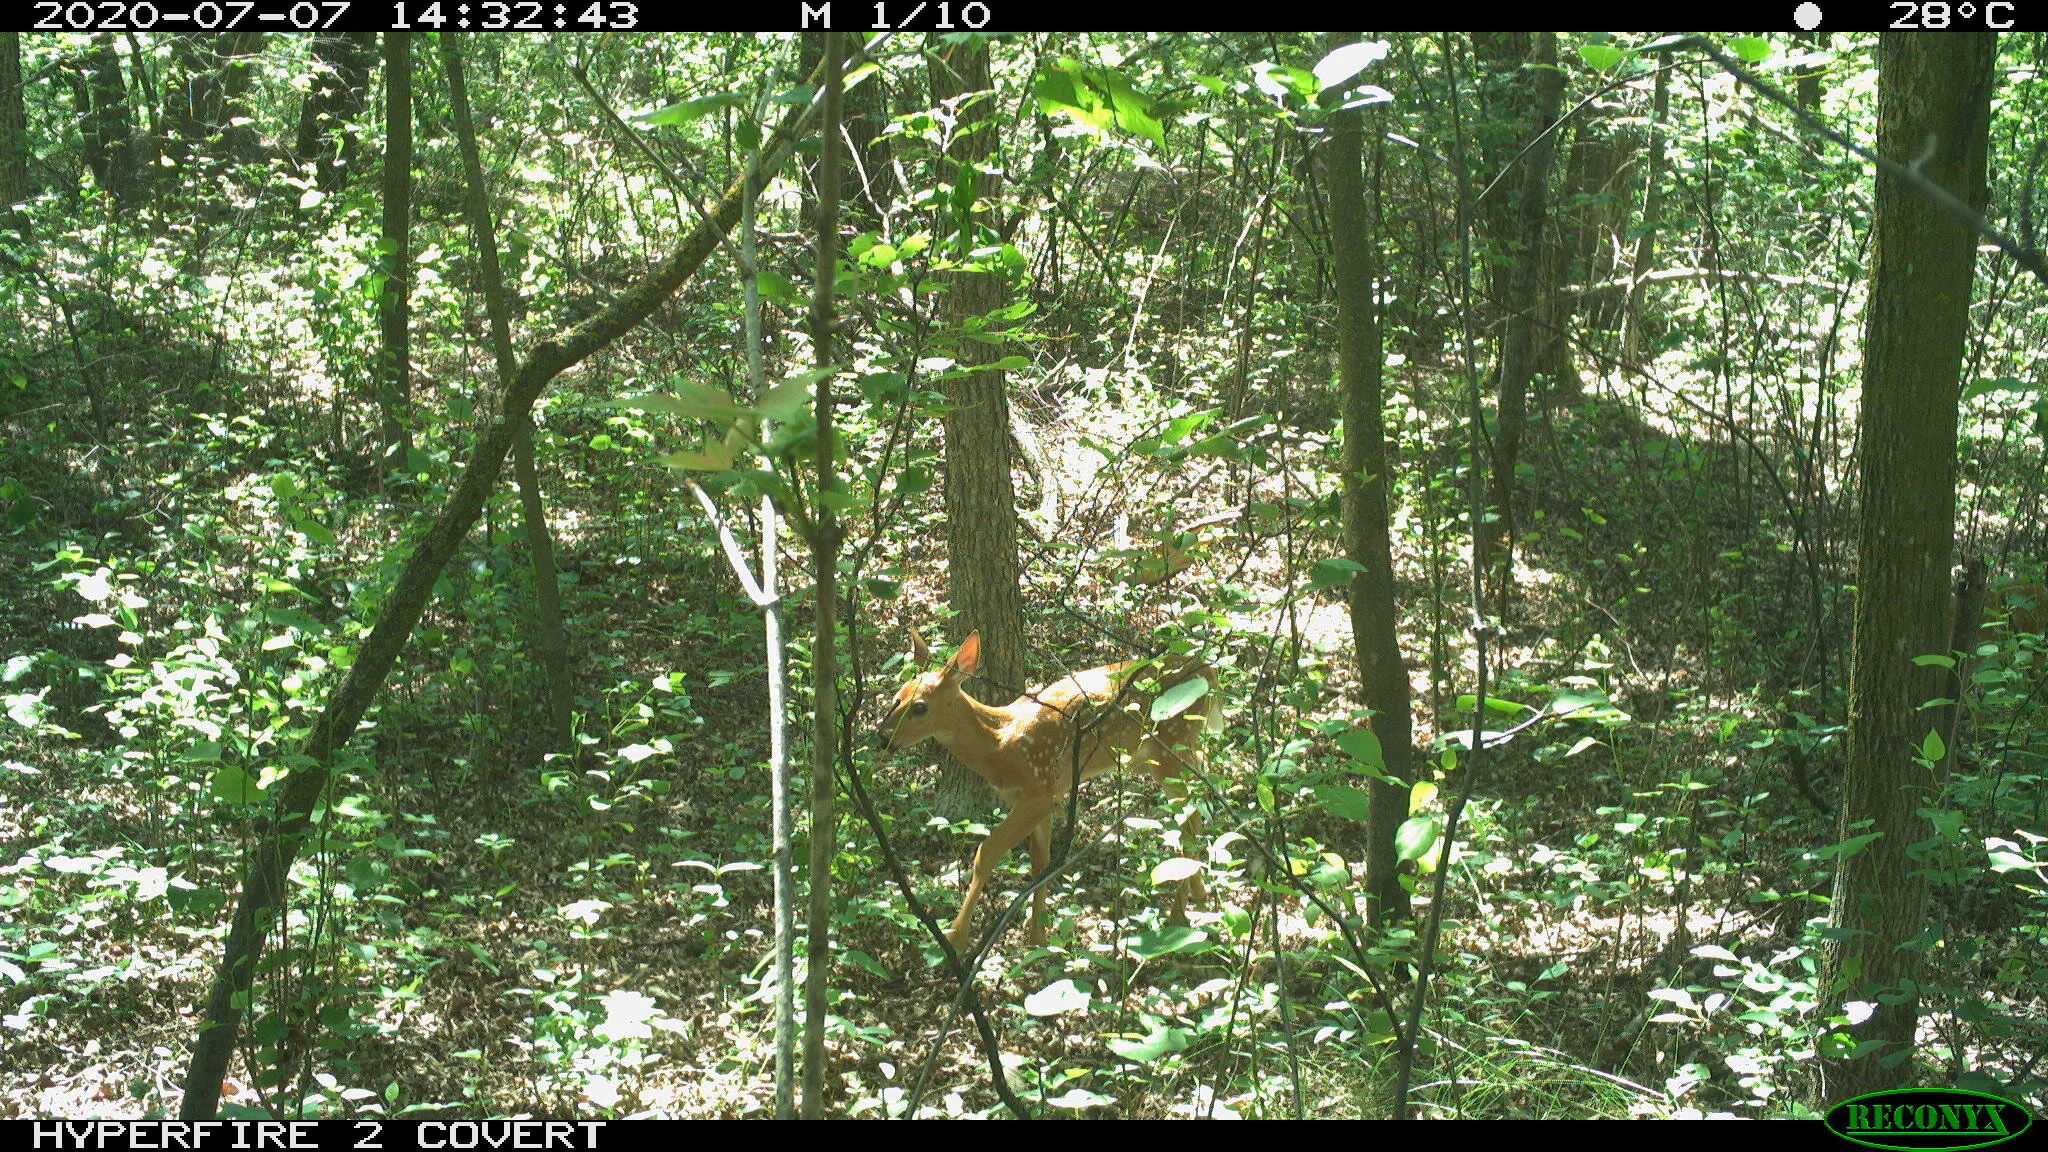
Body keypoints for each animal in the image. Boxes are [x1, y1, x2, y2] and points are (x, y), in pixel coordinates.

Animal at [873, 631, 1217, 951]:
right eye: (897, 696)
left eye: (920, 707)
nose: (883, 738)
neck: (998, 746)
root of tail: (1209, 670)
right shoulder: (1038, 796)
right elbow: (1041, 860)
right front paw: (1037, 937)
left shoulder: (1039, 792)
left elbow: (987, 852)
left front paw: (955, 938)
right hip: (1173, 753)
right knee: (1195, 813)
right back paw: (1198, 896)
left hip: (1172, 744)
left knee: (1188, 822)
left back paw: (1178, 913)